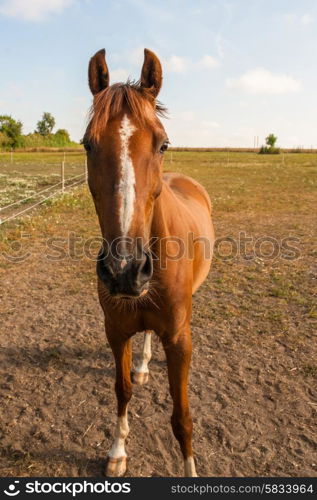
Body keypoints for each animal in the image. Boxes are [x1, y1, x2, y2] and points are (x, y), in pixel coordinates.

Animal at [84, 49, 214, 476]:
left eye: (163, 144)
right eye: (87, 144)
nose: (124, 271)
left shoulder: (179, 341)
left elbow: (182, 419)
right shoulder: (115, 331)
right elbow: (121, 389)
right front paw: (117, 452)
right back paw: (142, 365)